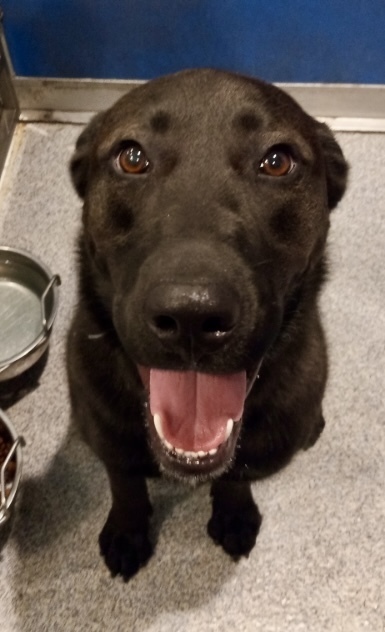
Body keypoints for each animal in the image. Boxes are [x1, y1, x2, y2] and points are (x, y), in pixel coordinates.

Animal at [67, 68, 348, 576]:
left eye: (277, 162)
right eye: (131, 158)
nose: (191, 316)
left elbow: (236, 476)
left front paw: (234, 513)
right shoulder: (107, 434)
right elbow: (123, 478)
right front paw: (127, 527)